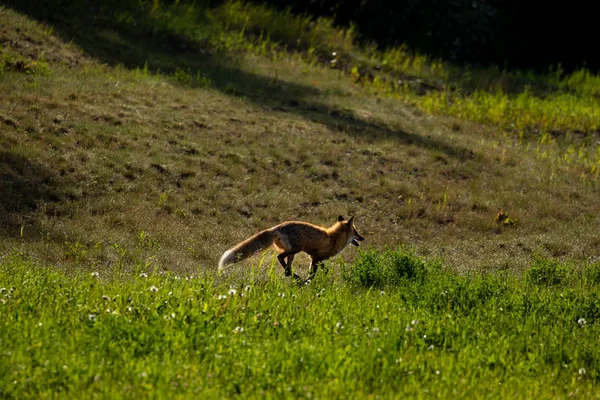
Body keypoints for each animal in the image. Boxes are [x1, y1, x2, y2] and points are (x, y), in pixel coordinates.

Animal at [218, 217, 364, 280]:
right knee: (280, 257)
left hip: (292, 253)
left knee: (286, 267)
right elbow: (313, 274)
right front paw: (309, 282)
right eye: (356, 232)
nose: (363, 238)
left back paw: (293, 276)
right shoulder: (316, 258)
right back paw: (296, 277)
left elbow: (324, 269)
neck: (333, 238)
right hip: (297, 249)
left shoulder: (314, 258)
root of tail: (276, 227)